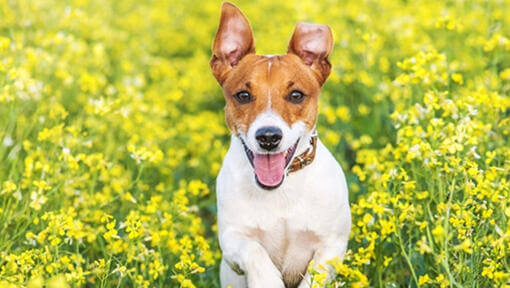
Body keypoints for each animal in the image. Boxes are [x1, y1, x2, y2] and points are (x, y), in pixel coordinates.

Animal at [210, 2, 350, 288]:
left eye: (296, 95)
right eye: (243, 95)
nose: (268, 136)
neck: (280, 191)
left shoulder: (332, 246)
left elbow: (315, 275)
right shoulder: (231, 240)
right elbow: (253, 250)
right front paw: (266, 280)